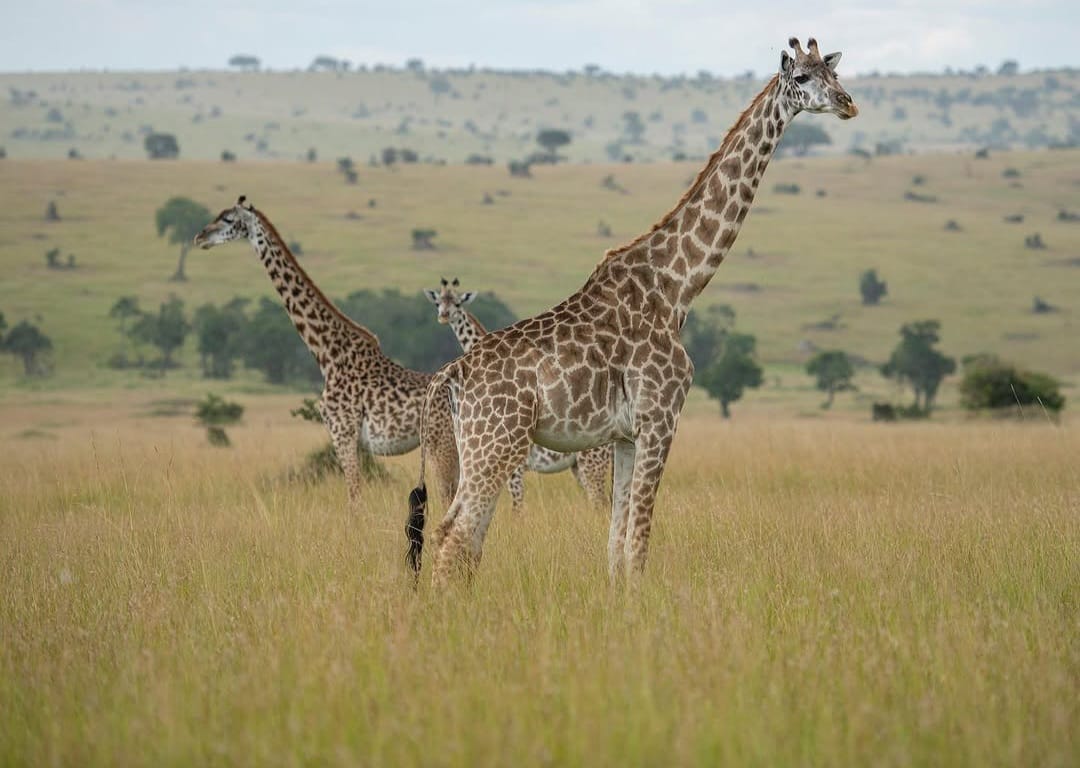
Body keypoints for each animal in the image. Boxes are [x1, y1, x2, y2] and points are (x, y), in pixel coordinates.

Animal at [192, 197, 459, 510]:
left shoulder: (342, 432)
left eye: (227, 219)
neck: (327, 352)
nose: (199, 237)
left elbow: (355, 500)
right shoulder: (349, 438)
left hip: (442, 445)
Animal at [424, 277, 612, 513]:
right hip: (579, 466)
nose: (443, 316)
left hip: (592, 463)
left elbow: (518, 510)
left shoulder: (516, 469)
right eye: (438, 303)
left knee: (602, 503)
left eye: (458, 304)